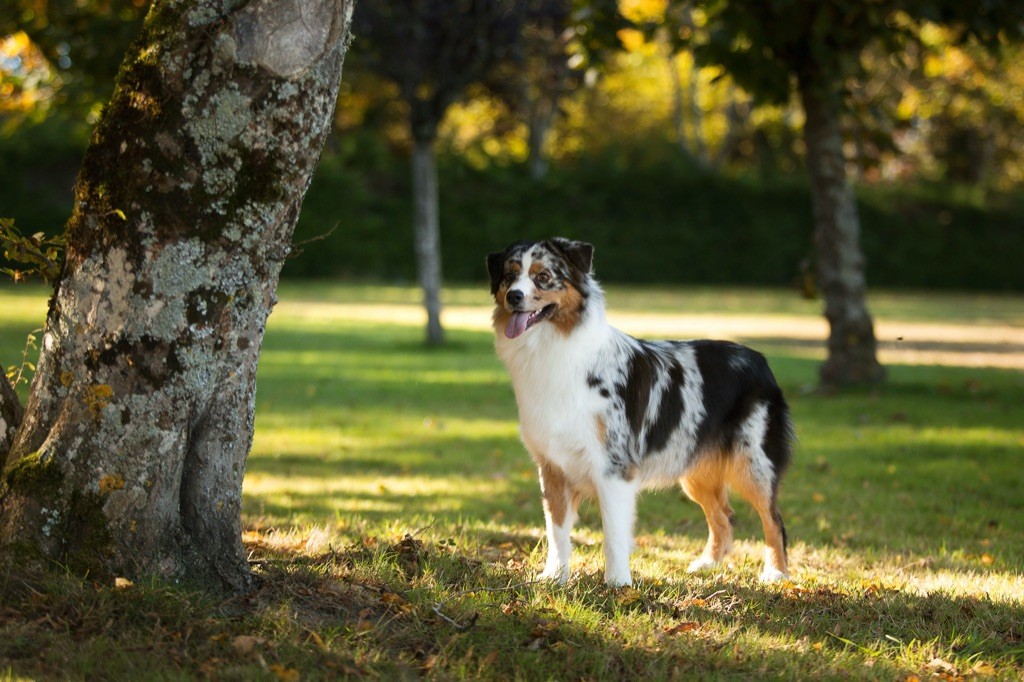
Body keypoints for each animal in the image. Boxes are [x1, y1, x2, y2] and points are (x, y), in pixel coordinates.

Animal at [485, 237, 790, 585]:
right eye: (509, 276)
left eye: (543, 276)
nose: (514, 296)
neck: (554, 349)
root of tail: (760, 360)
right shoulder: (552, 465)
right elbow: (557, 531)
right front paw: (554, 577)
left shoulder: (614, 467)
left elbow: (614, 535)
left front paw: (618, 583)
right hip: (696, 471)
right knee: (724, 516)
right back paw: (707, 565)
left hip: (753, 464)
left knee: (773, 518)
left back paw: (776, 572)